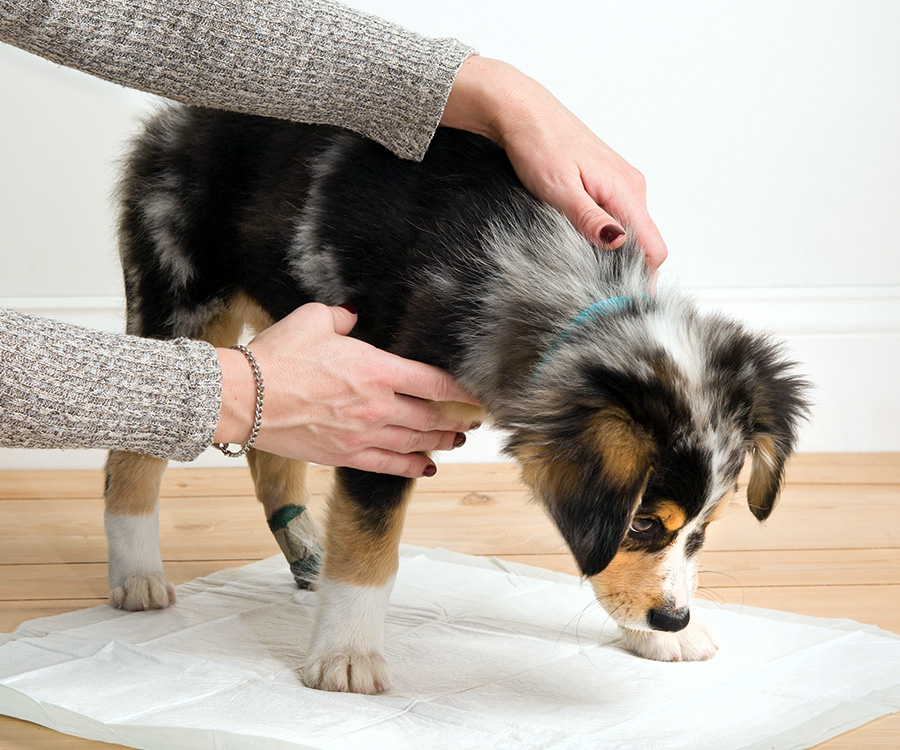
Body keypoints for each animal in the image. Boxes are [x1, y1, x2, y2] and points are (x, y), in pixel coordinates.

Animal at [103, 104, 808, 692]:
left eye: (702, 530)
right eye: (640, 523)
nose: (671, 619)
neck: (535, 284)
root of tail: (177, 116)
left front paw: (662, 638)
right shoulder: (383, 414)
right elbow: (370, 548)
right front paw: (346, 658)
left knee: (268, 451)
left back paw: (305, 556)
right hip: (183, 306)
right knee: (129, 457)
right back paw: (136, 576)